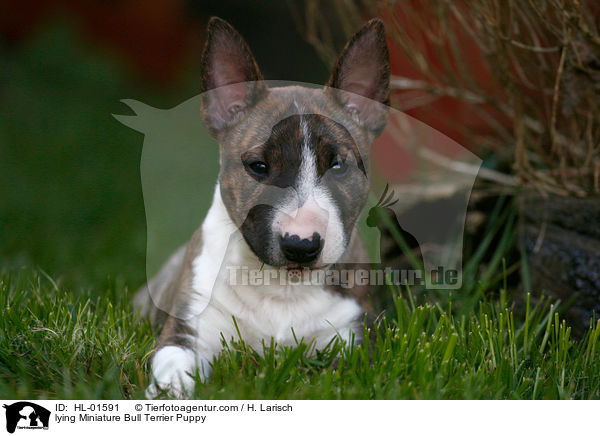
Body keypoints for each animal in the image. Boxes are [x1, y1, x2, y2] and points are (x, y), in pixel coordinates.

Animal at [134, 16, 392, 396]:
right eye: (258, 166)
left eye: (338, 165)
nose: (301, 245)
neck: (281, 288)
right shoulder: (188, 331)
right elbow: (173, 366)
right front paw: (170, 392)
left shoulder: (353, 339)